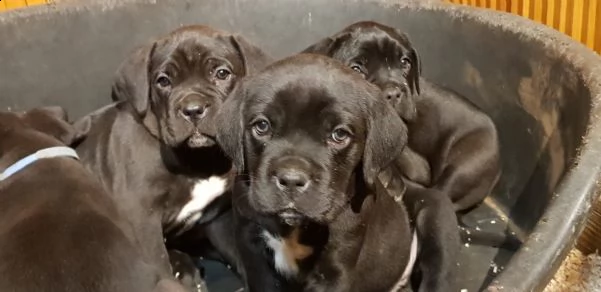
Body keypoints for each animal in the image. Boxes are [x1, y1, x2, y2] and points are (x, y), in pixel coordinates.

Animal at [74, 25, 270, 282]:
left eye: (221, 73)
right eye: (163, 81)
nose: (193, 109)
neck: (198, 160)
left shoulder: (220, 217)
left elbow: (241, 257)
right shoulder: (143, 221)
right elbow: (159, 265)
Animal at [216, 53, 460, 290]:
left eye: (339, 135)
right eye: (262, 126)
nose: (291, 179)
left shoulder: (336, 267)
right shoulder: (252, 250)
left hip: (437, 224)